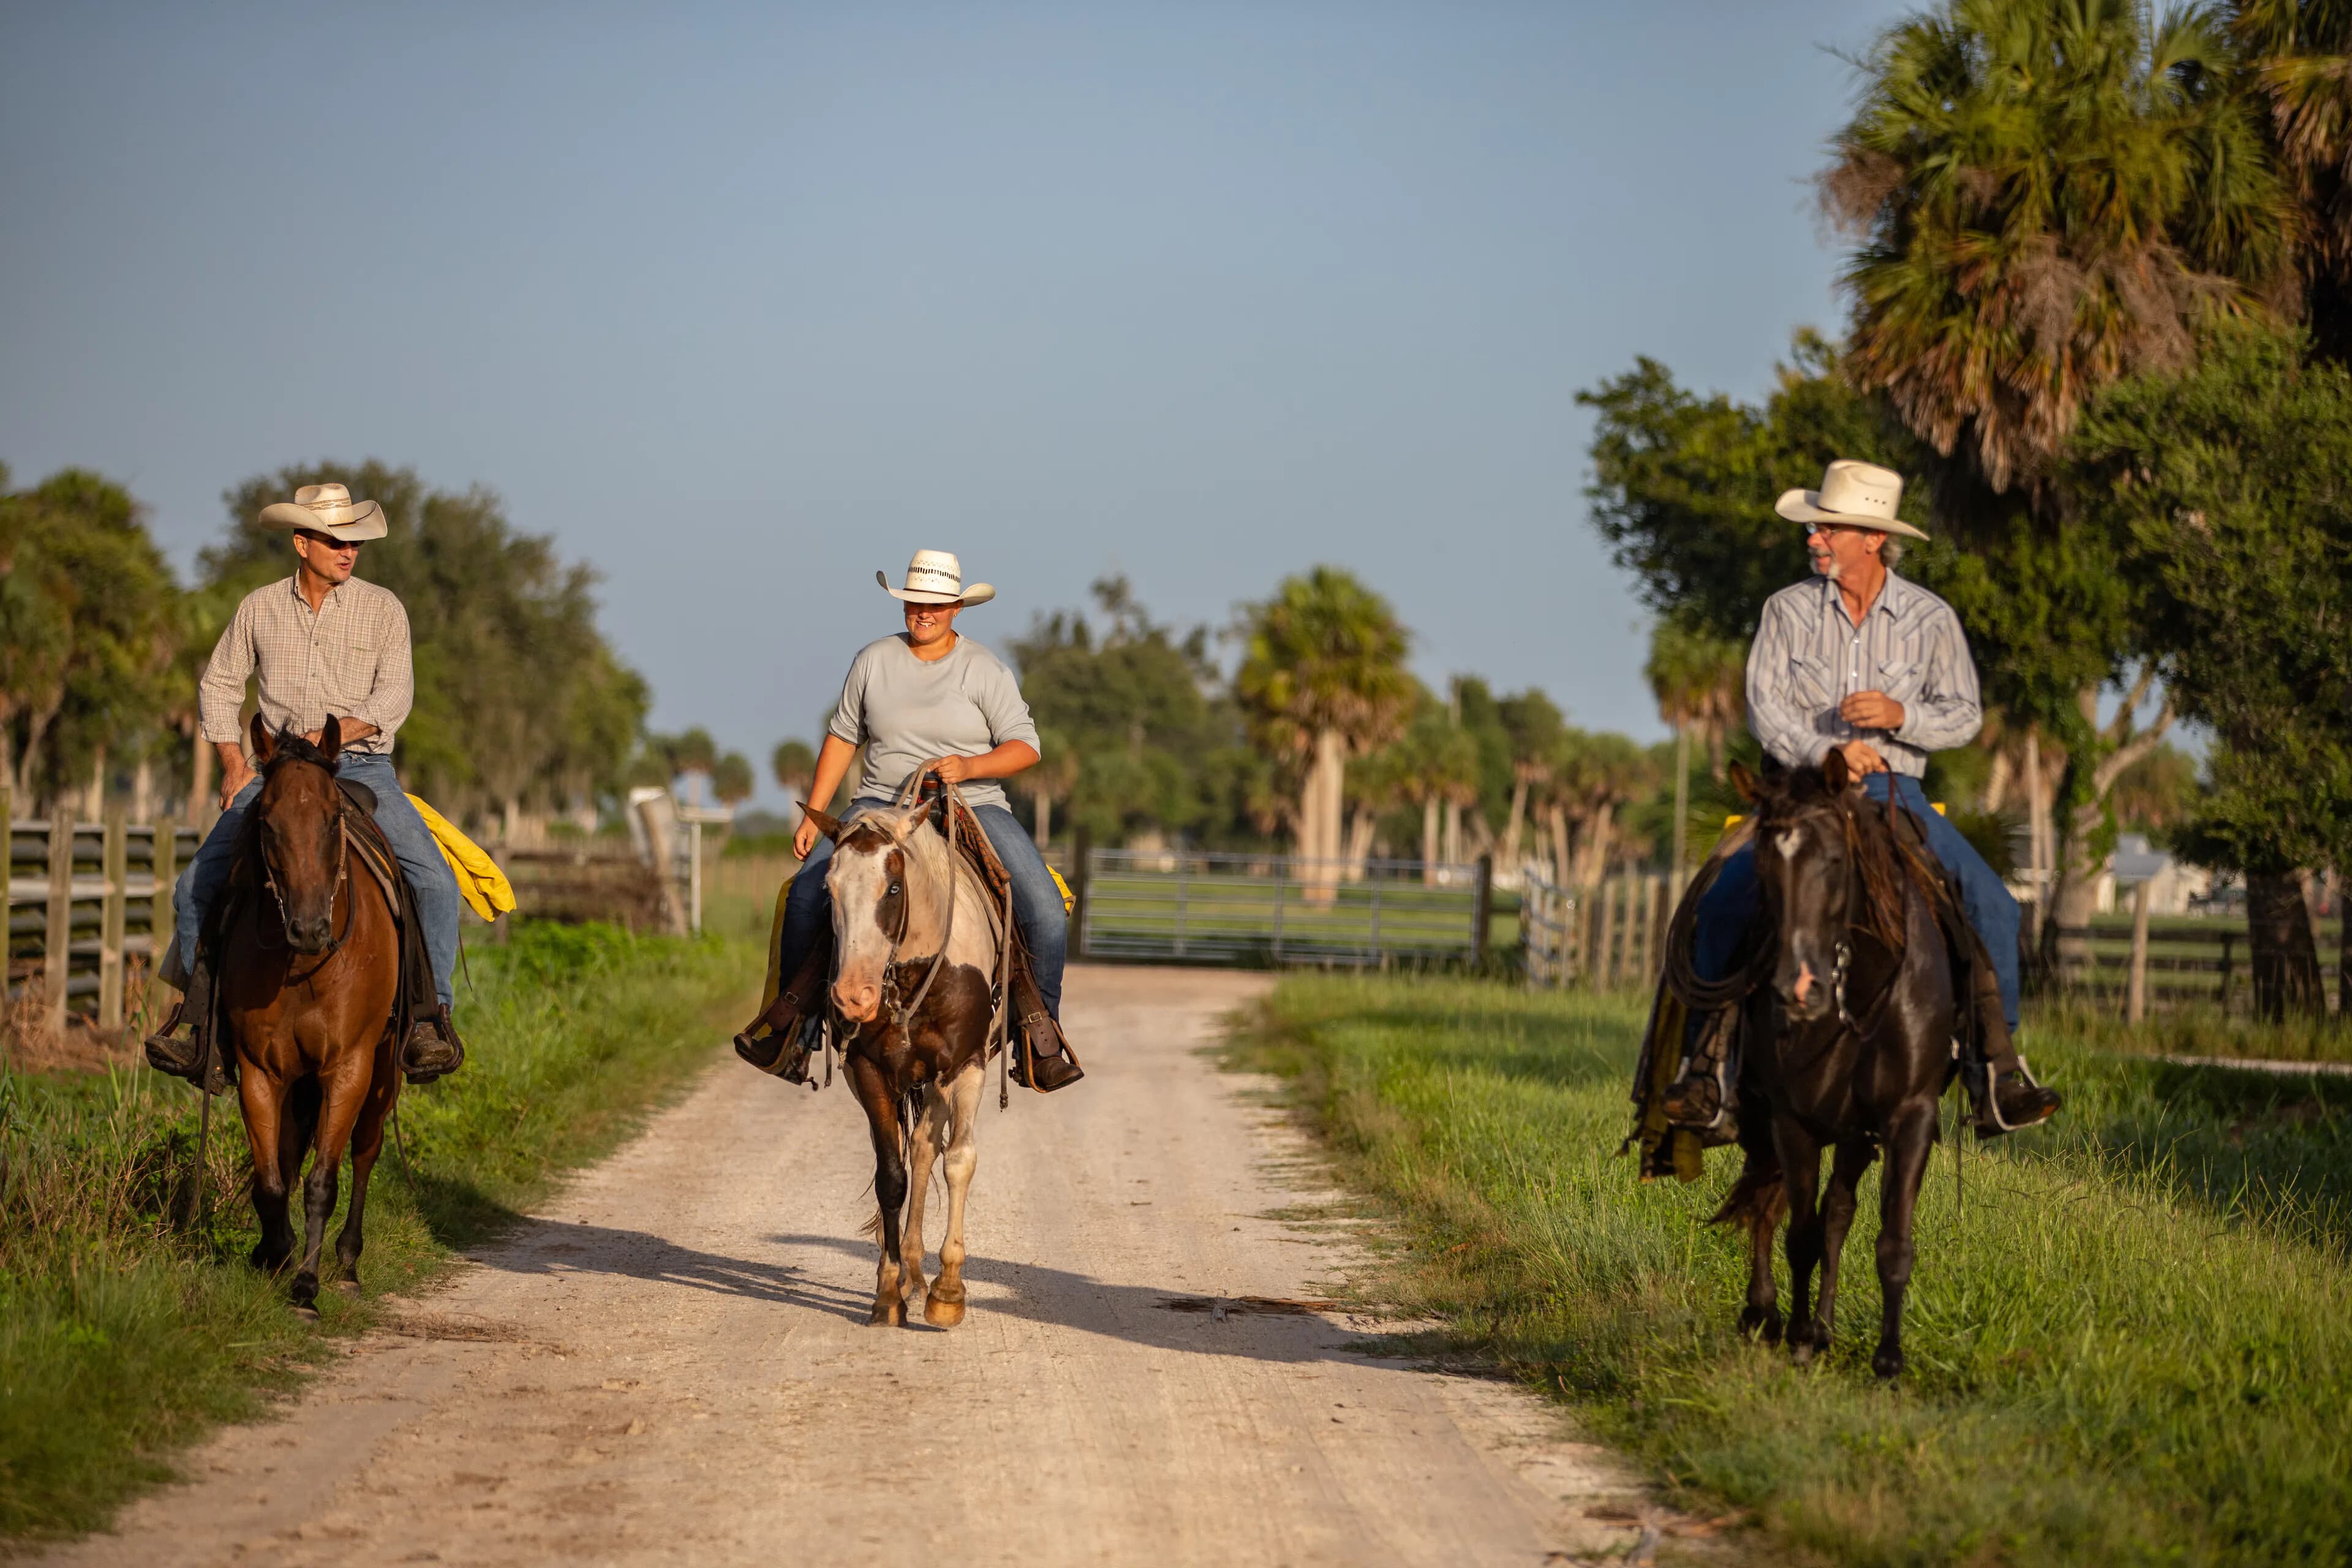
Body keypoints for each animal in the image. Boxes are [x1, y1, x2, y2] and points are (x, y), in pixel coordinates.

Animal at [221, 710, 404, 1316]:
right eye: (268, 823)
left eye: (331, 821)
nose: (309, 929)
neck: (303, 968)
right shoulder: (260, 1070)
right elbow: (271, 1179)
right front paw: (276, 1257)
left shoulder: (348, 1068)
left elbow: (323, 1181)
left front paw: (305, 1284)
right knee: (289, 1154)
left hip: (384, 1072)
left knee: (366, 1152)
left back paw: (346, 1263)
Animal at [804, 799, 1006, 1325]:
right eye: (829, 889)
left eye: (893, 888)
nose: (854, 997)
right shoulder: (868, 1071)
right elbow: (891, 1177)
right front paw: (888, 1292)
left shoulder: (965, 1066)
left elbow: (959, 1162)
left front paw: (949, 1291)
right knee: (915, 1150)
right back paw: (910, 1272)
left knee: (927, 1148)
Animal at [1721, 752, 1956, 1382]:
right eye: (1763, 868)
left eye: (1834, 861)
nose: (1797, 988)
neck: (1863, 994)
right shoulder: (1792, 1123)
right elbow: (1797, 1234)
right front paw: (1798, 1337)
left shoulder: (1909, 1119)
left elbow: (1889, 1240)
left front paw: (1889, 1358)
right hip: (1765, 1122)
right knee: (1766, 1202)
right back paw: (1765, 1313)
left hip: (1855, 1135)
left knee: (1837, 1213)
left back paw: (1822, 1328)